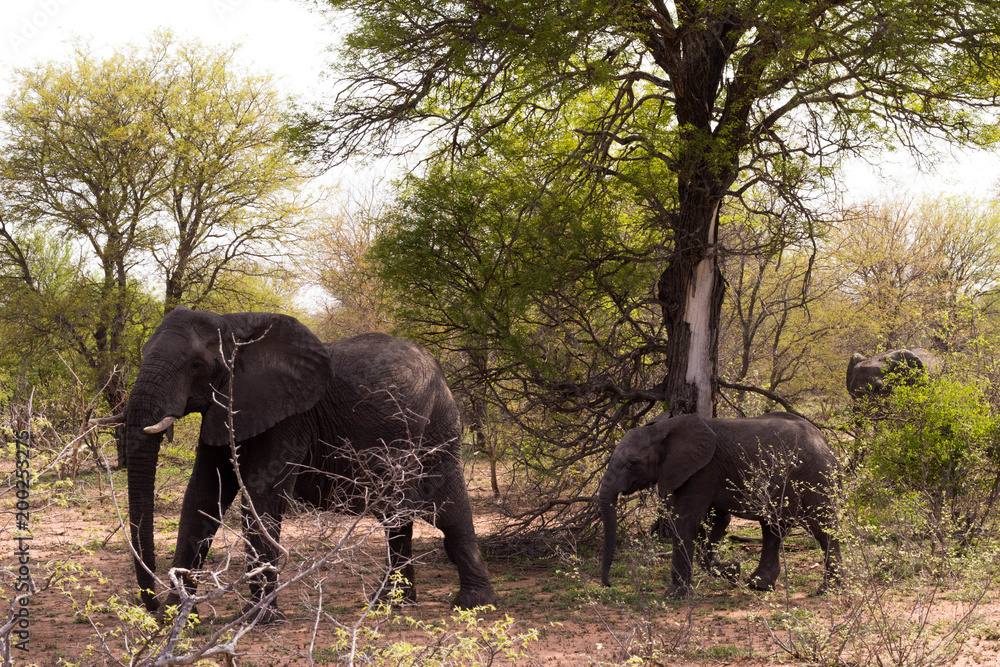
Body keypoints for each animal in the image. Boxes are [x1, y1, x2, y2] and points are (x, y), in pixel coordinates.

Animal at [110, 306, 496, 622]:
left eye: (196, 366)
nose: (152, 606)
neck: (234, 326)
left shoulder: (289, 416)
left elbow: (260, 492)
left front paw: (257, 620)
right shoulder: (225, 411)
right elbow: (202, 496)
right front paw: (176, 619)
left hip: (437, 427)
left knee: (447, 510)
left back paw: (472, 605)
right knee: (396, 516)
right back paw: (391, 603)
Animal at [599, 412, 840, 597]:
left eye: (633, 463)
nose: (608, 584)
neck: (663, 428)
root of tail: (825, 440)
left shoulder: (701, 472)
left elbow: (686, 520)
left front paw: (675, 595)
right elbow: (717, 520)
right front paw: (732, 571)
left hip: (816, 476)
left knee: (823, 528)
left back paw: (828, 591)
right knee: (772, 528)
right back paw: (759, 585)